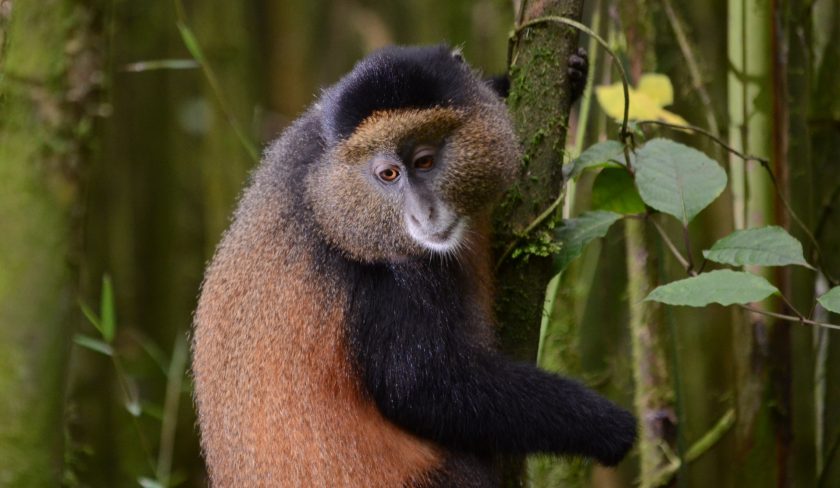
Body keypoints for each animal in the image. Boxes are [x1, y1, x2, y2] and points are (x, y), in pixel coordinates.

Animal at [192, 44, 635, 487]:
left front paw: (565, 74)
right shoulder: (385, 288)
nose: (425, 212)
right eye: (388, 174)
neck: (331, 200)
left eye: (424, 162)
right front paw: (604, 424)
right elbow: (426, 389)